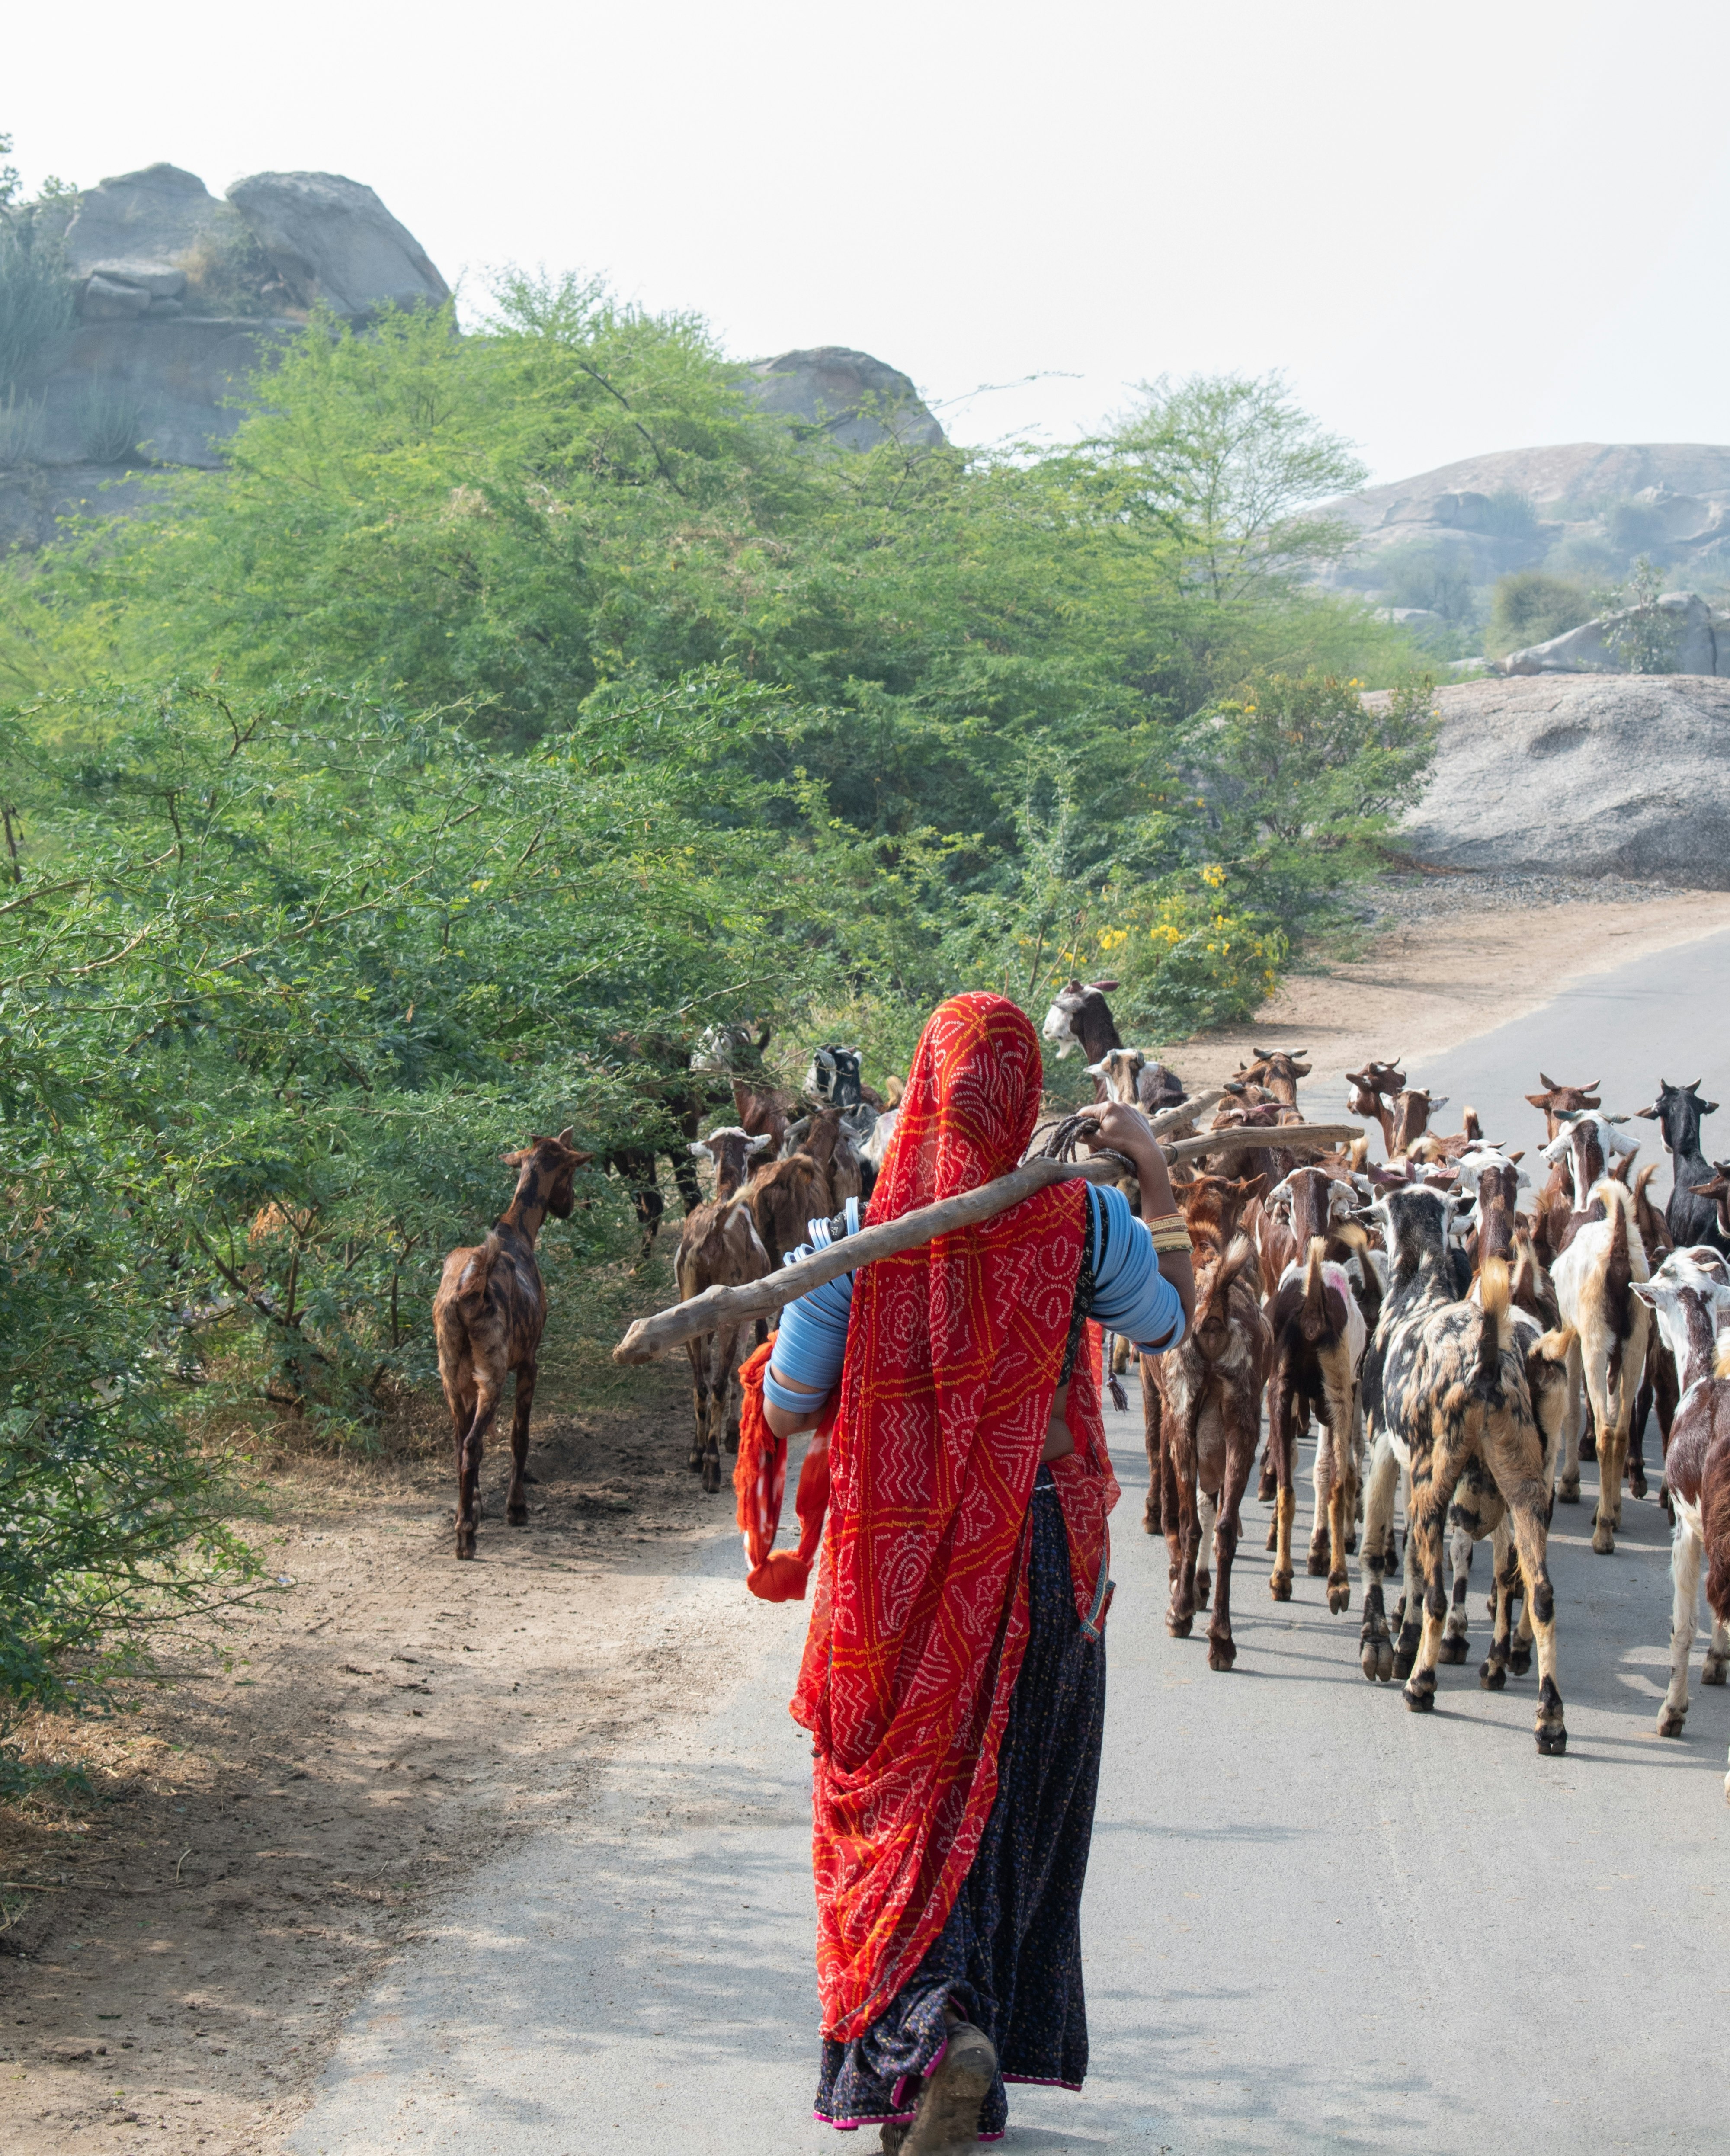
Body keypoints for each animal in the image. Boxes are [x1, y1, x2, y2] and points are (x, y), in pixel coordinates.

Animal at [434, 1132, 590, 1561]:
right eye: (571, 1169)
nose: (569, 1204)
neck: (516, 1231)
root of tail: (467, 1291)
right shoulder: (528, 1361)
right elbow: (520, 1436)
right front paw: (516, 1509)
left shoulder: (468, 1378)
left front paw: (476, 1504)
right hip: (494, 1369)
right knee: (472, 1444)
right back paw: (465, 1538)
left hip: (450, 1369)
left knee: (460, 1443)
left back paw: (464, 1519)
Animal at [677, 1128, 774, 1494]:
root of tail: (715, 1227)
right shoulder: (751, 1309)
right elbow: (739, 1368)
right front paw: (733, 1435)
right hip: (728, 1312)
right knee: (718, 1382)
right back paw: (713, 1467)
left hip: (689, 1305)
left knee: (701, 1383)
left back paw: (697, 1455)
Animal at [1144, 1174, 1270, 1671]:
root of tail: (1216, 1310)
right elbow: (1212, 1501)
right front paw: (1197, 1583)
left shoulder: (1162, 1399)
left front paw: (1180, 1579)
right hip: (1244, 1419)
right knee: (1223, 1528)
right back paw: (1221, 1638)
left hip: (1183, 1411)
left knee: (1190, 1520)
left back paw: (1179, 1613)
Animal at [1357, 1186, 1572, 1752]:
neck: (1419, 1288)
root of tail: (1488, 1360)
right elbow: (1412, 1559)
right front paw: (1401, 1640)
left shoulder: (1383, 1450)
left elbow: (1378, 1552)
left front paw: (1381, 1644)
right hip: (1523, 1486)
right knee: (1537, 1592)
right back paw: (1548, 1716)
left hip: (1435, 1485)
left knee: (1437, 1592)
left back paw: (1421, 1685)